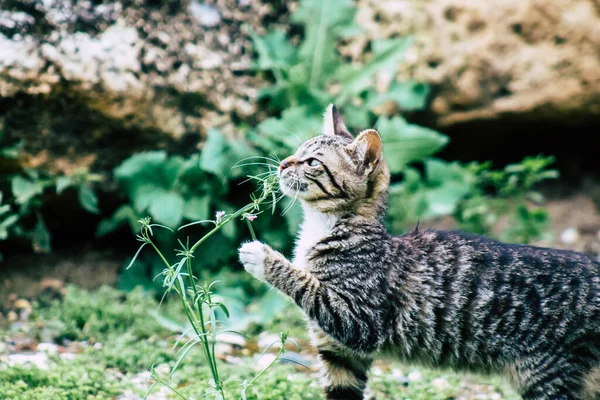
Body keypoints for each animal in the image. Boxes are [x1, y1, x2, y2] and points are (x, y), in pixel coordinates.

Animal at [238, 104, 600, 398]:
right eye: (295, 151)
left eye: (312, 162)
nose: (283, 164)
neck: (322, 228)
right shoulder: (340, 355)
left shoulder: (359, 322)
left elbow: (306, 284)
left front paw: (262, 257)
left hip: (547, 375)